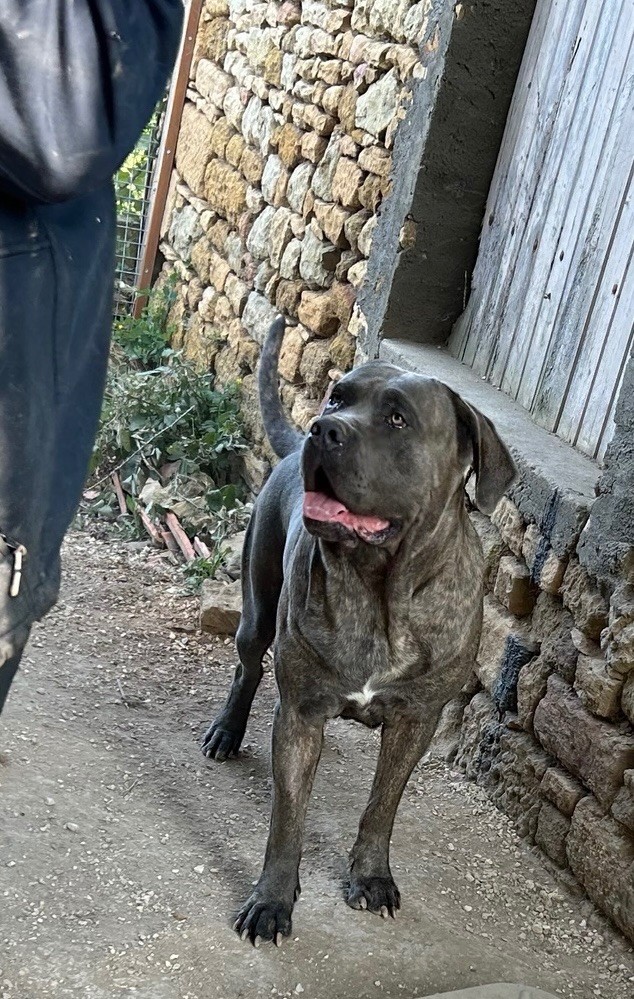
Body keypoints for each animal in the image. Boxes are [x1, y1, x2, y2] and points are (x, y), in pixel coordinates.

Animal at [202, 318, 512, 944]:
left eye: (397, 418)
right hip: (256, 608)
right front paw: (272, 900)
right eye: (337, 397)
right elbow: (288, 818)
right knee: (247, 667)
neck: (380, 592)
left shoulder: (416, 721)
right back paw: (226, 729)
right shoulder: (300, 715)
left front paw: (371, 876)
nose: (323, 429)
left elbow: (382, 806)